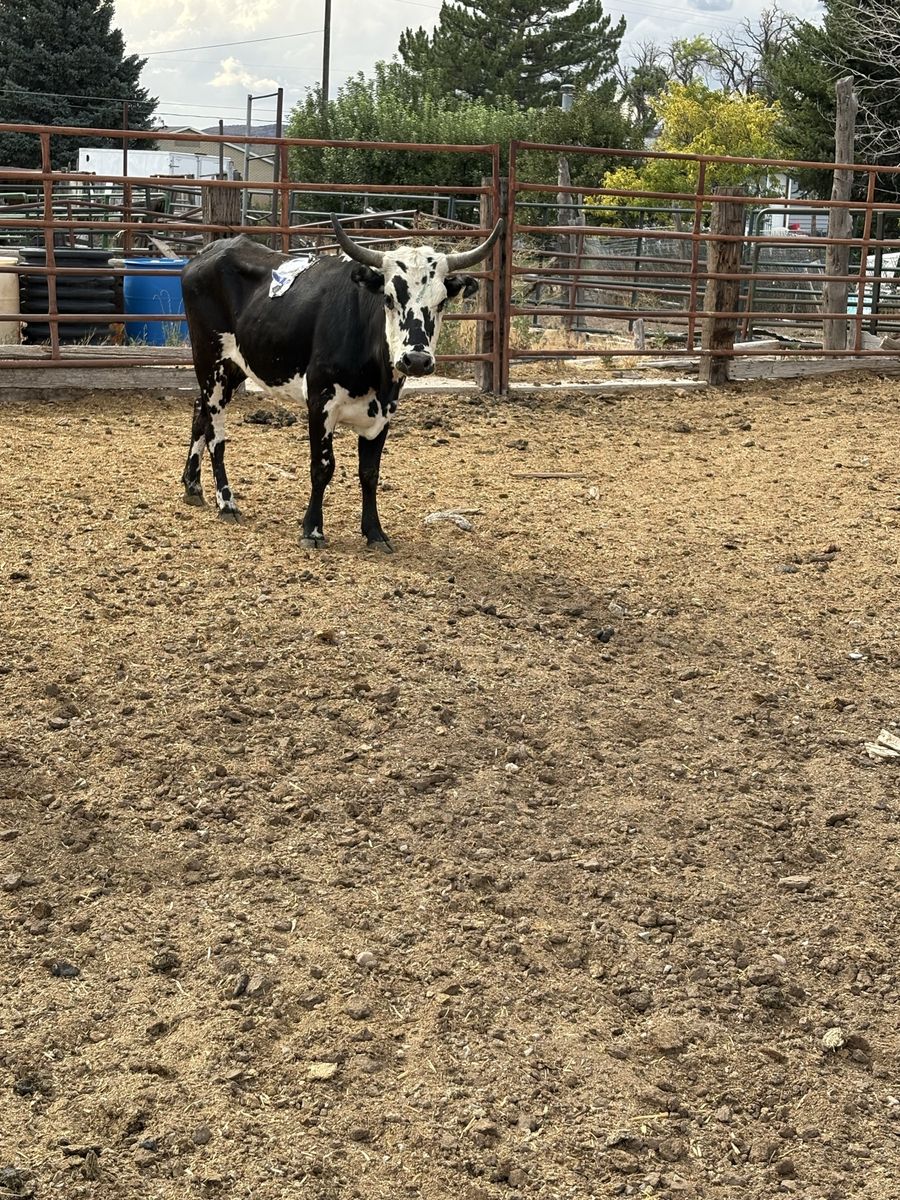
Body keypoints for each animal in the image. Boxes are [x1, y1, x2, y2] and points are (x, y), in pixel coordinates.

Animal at [179, 215, 504, 552]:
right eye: (389, 298)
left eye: (441, 303)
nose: (416, 359)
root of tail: (209, 252)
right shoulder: (320, 402)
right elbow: (322, 467)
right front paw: (312, 529)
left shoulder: (384, 409)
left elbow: (370, 472)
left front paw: (374, 532)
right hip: (210, 361)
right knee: (215, 432)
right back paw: (226, 502)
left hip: (236, 365)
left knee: (199, 412)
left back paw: (192, 485)